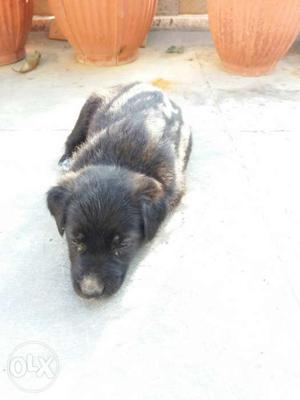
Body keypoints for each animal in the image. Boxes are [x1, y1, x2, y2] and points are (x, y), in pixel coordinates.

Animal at [47, 83, 192, 298]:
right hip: (88, 108)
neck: (118, 160)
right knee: (71, 138)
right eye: (74, 239)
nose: (91, 292)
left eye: (122, 244)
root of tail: (145, 84)